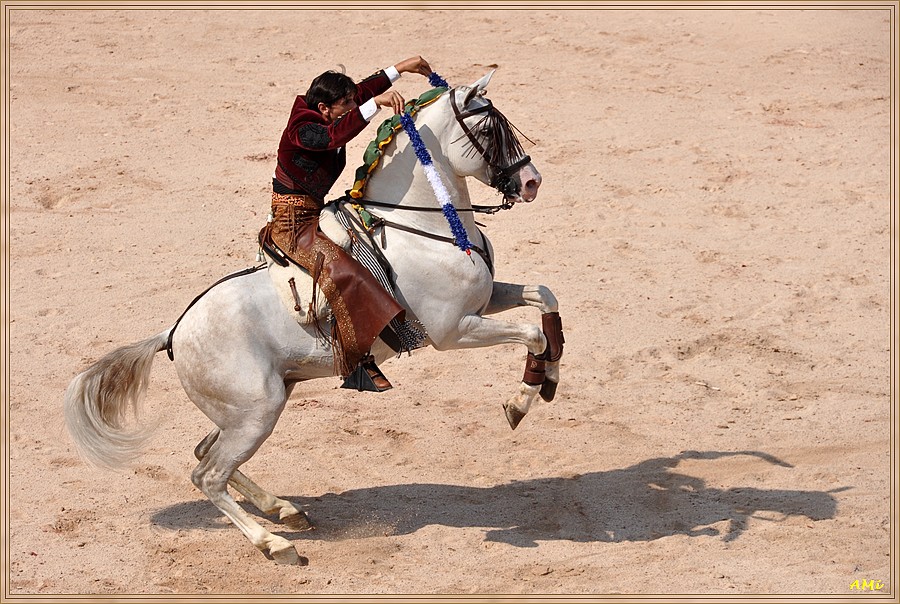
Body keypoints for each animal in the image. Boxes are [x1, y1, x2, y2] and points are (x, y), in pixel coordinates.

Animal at [65, 72, 564, 568]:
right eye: (488, 132)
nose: (532, 182)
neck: (421, 227)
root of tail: (174, 332)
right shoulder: (454, 330)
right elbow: (531, 334)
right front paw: (520, 403)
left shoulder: (486, 301)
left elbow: (545, 299)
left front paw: (552, 379)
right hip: (256, 411)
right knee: (208, 474)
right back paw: (276, 544)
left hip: (251, 407)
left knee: (206, 453)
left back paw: (285, 511)